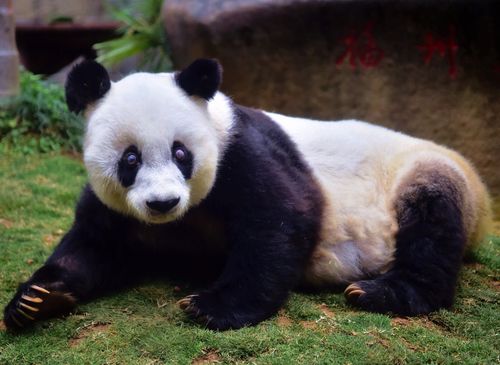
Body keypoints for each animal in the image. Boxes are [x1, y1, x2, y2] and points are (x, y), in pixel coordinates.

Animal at [1, 57, 490, 330]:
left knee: (432, 221)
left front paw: (211, 307)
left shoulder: (243, 153)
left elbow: (281, 218)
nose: (162, 203)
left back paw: (379, 292)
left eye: (181, 153)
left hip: (422, 174)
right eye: (130, 159)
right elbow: (93, 245)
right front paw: (35, 299)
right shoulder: (118, 210)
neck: (179, 220)